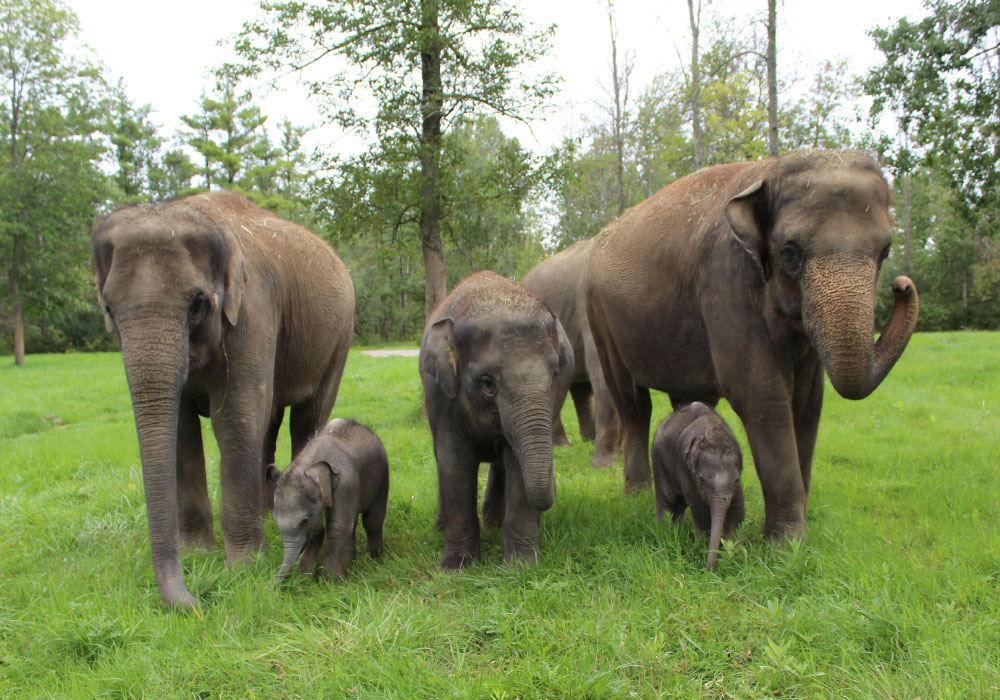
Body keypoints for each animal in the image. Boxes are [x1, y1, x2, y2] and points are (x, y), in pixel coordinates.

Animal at [92, 190, 355, 608]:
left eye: (199, 303)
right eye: (108, 309)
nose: (200, 600)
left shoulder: (253, 312)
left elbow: (235, 417)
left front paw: (243, 568)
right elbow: (182, 429)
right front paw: (200, 556)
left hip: (338, 339)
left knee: (306, 418)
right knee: (269, 424)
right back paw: (266, 511)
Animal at [267, 418, 389, 582]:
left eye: (305, 521)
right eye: (276, 522)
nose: (274, 585)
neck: (307, 467)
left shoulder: (346, 484)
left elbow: (338, 527)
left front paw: (328, 582)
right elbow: (318, 532)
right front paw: (305, 578)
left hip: (382, 479)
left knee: (372, 522)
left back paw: (375, 559)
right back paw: (353, 560)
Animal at [420, 270, 569, 568]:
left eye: (555, 374)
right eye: (488, 383)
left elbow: (517, 465)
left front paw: (522, 566)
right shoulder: (445, 400)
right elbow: (454, 464)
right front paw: (456, 567)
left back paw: (495, 524)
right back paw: (442, 527)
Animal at [584, 150, 919, 541]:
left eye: (886, 251)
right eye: (790, 252)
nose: (902, 285)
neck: (770, 170)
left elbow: (808, 400)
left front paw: (798, 533)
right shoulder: (726, 277)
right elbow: (761, 393)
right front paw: (785, 543)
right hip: (601, 318)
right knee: (632, 403)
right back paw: (635, 497)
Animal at [651, 402, 744, 571]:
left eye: (736, 480)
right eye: (702, 480)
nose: (709, 571)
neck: (714, 434)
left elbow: (737, 511)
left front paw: (734, 557)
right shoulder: (686, 469)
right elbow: (701, 511)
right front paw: (704, 550)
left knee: (679, 504)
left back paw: (676, 531)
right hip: (658, 460)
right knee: (667, 498)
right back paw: (665, 533)